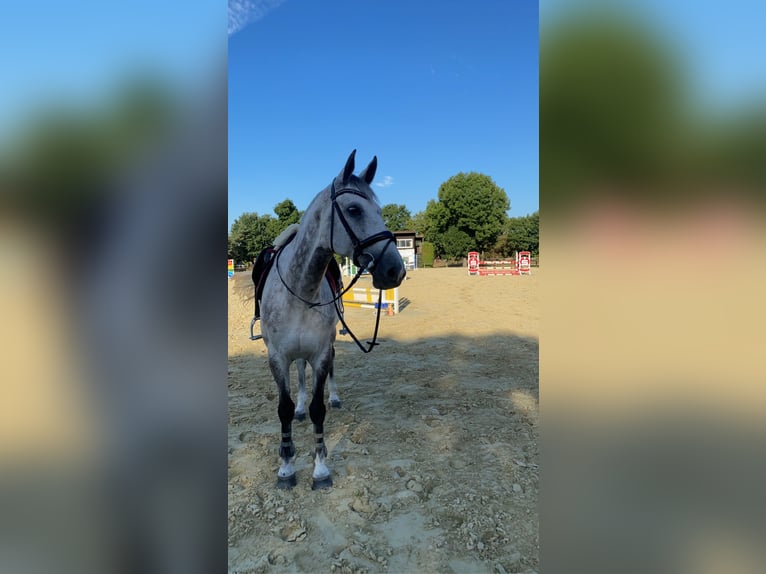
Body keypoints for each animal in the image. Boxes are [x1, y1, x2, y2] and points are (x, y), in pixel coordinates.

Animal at [259, 150, 406, 489]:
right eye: (353, 209)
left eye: (379, 210)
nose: (396, 270)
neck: (300, 288)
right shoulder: (277, 357)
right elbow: (284, 409)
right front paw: (286, 467)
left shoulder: (322, 353)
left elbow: (319, 409)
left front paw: (320, 469)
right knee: (299, 375)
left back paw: (334, 397)